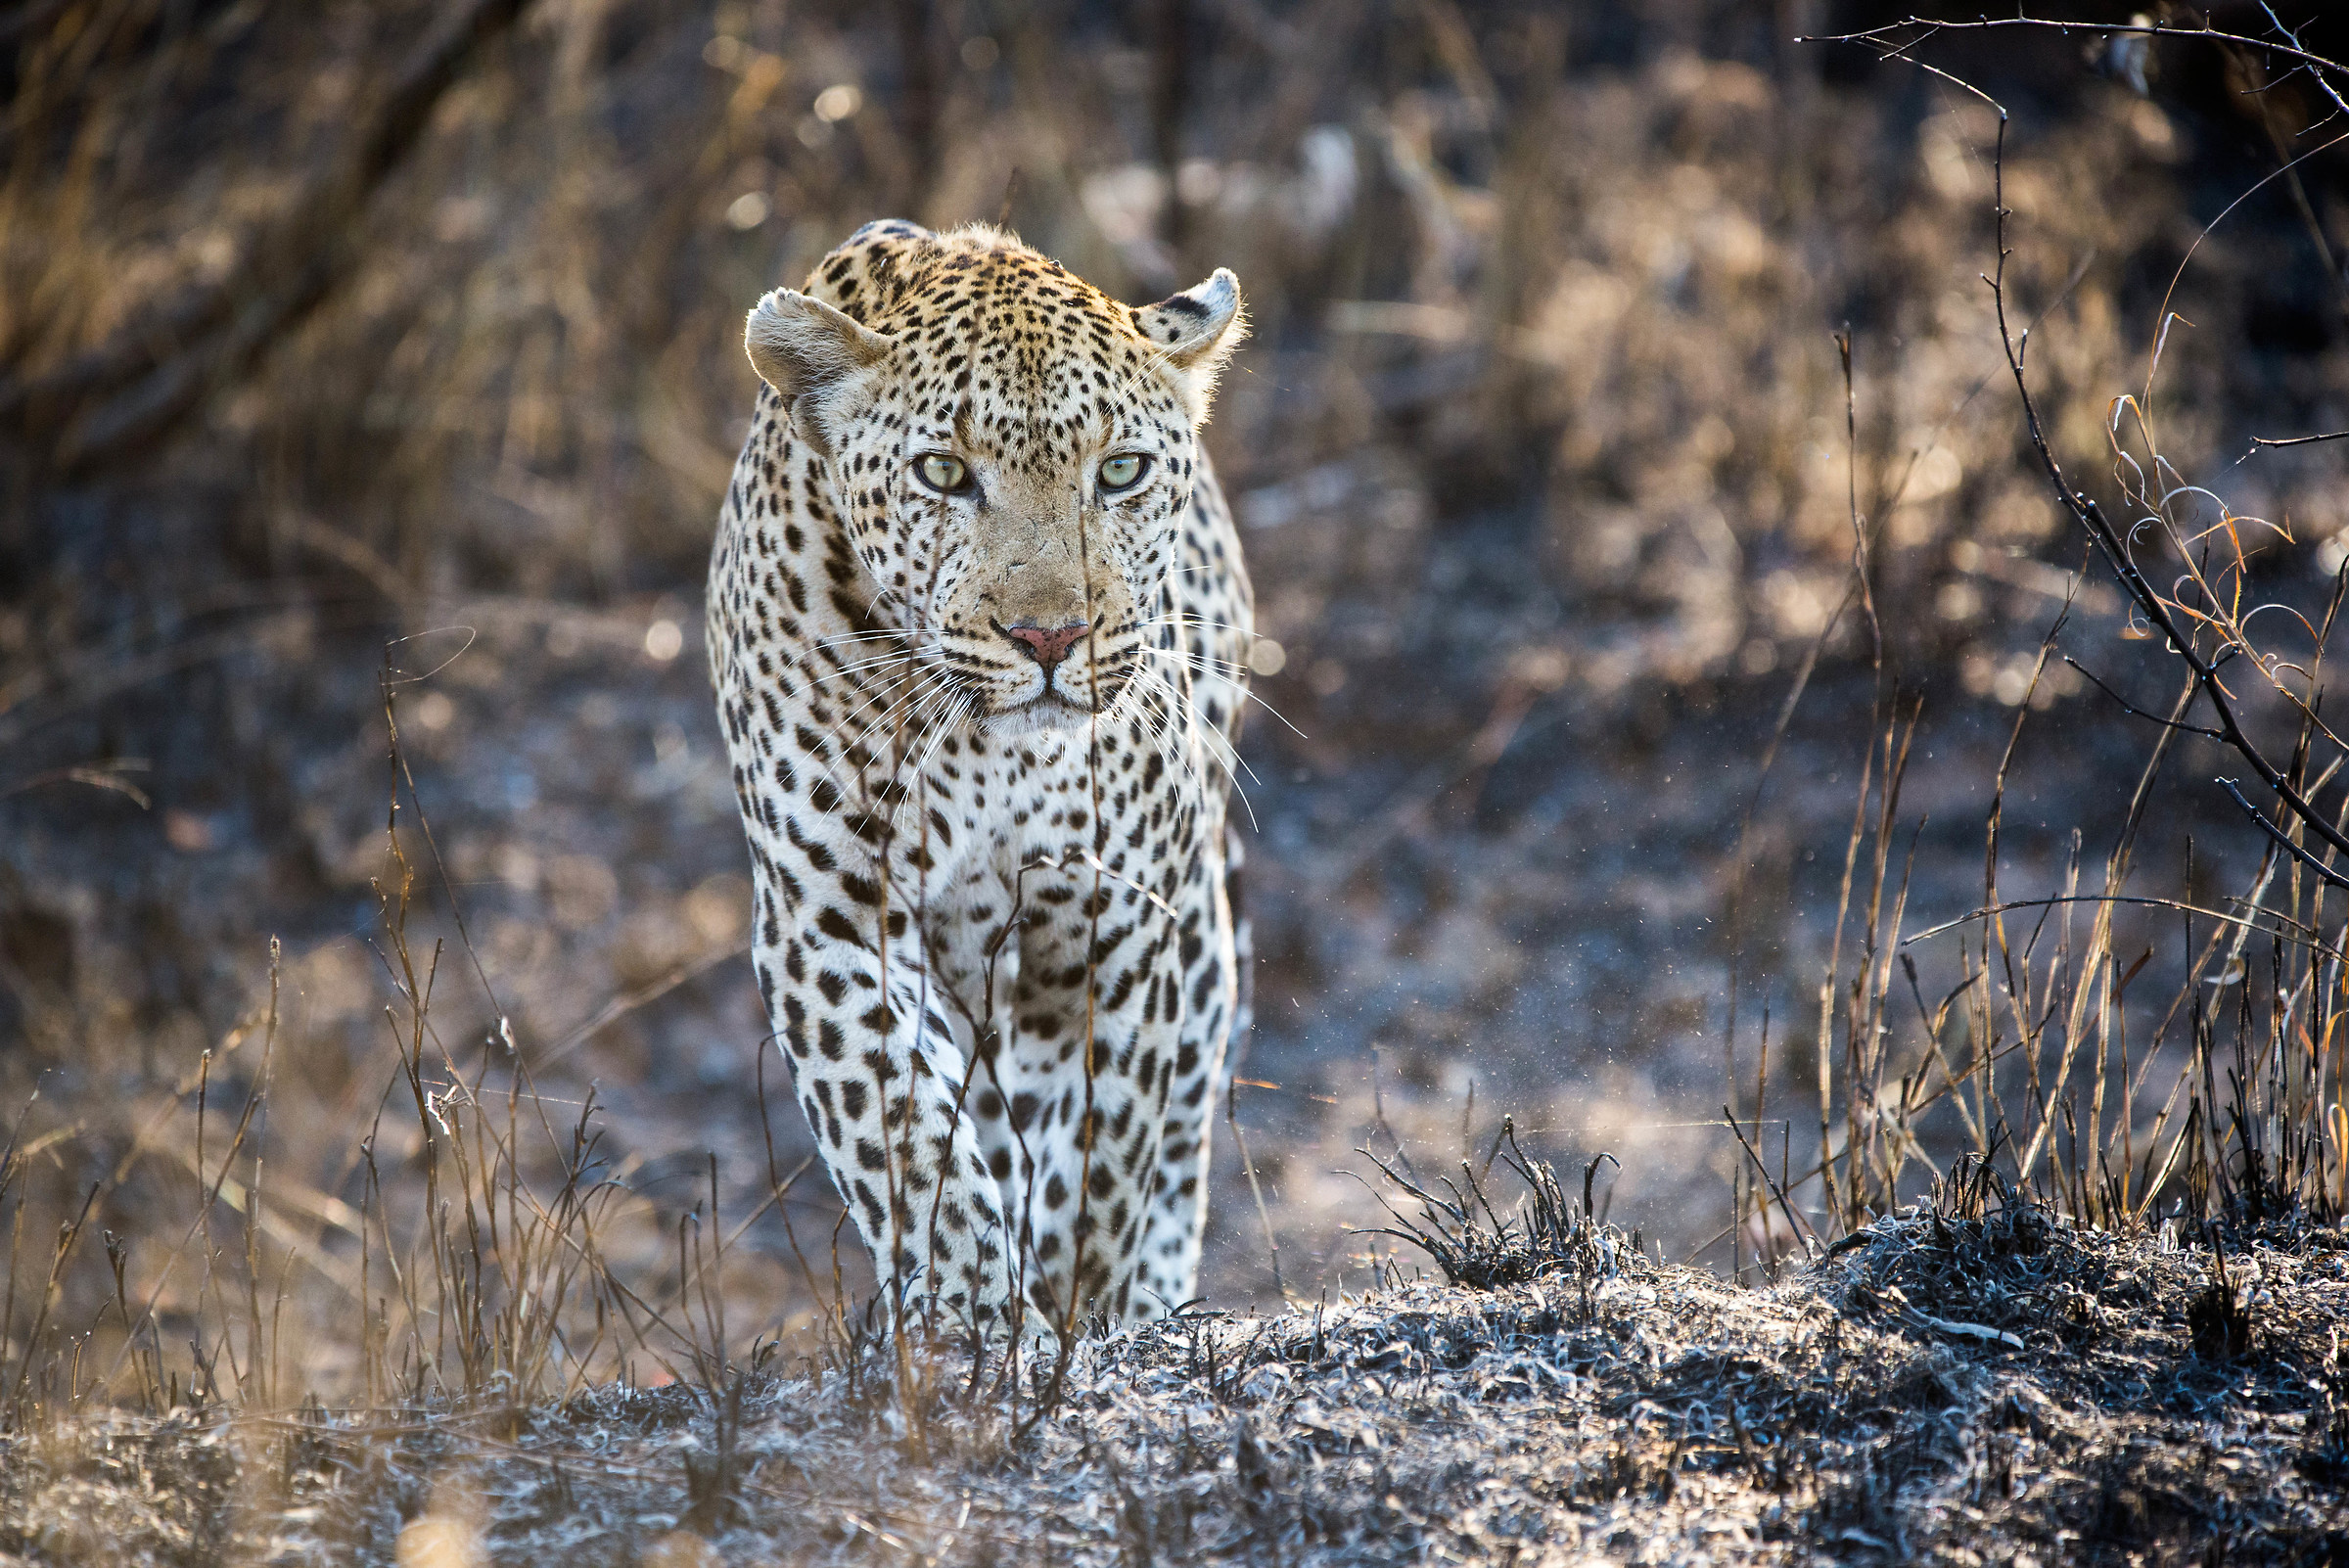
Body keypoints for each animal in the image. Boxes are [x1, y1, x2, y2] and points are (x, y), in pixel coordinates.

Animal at [705, 219, 1255, 1339]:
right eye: (944, 473)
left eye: (1120, 471)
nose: (1051, 636)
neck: (989, 753)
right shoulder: (831, 918)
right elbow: (911, 1140)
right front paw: (975, 1325)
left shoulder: (1112, 922)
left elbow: (1099, 1157)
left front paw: (1074, 1319)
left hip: (1201, 940)